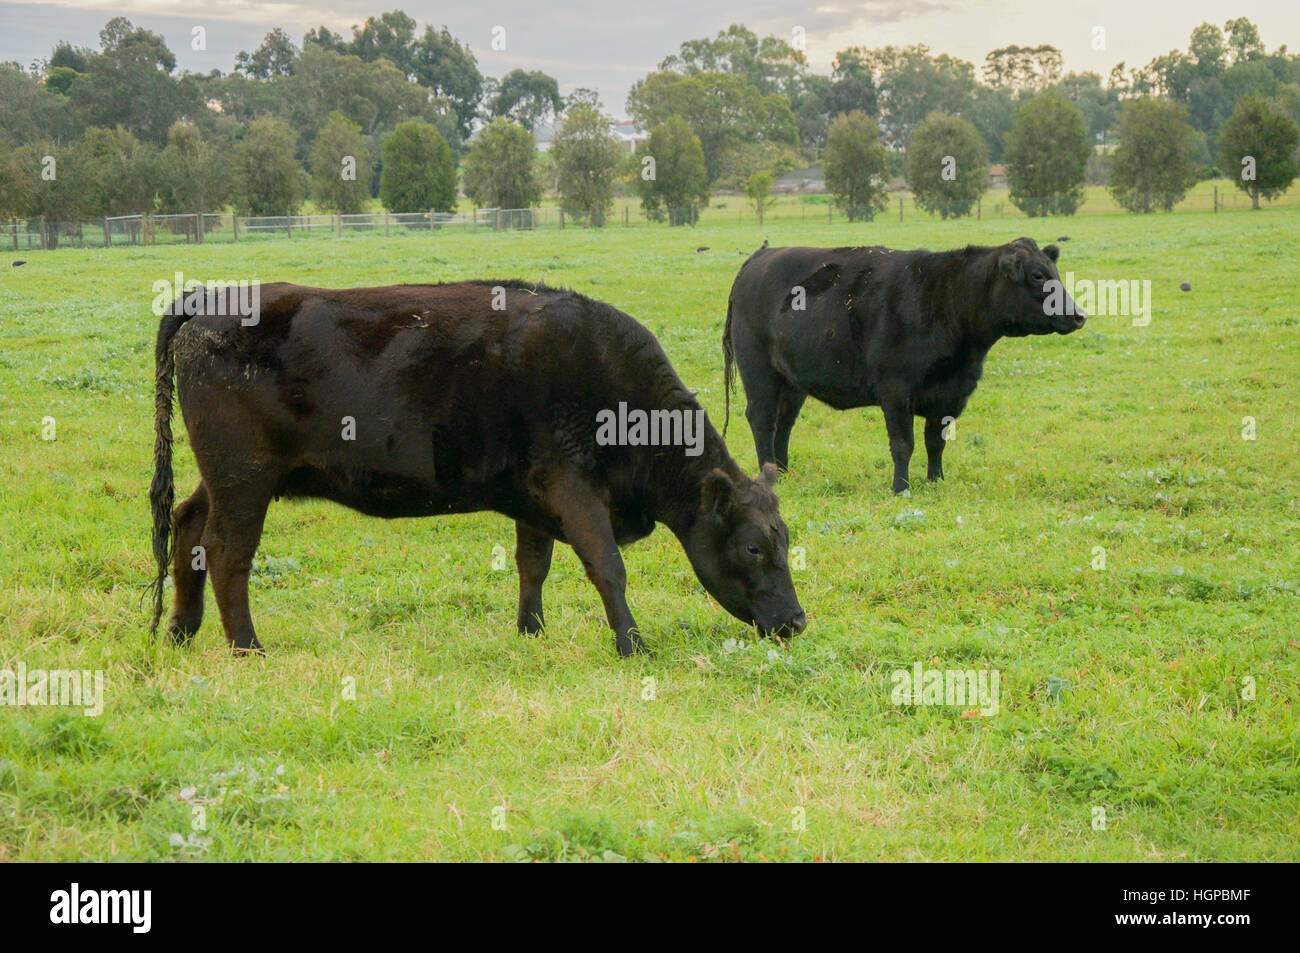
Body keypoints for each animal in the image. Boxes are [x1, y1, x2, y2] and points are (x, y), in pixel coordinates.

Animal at [149, 281, 806, 658]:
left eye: (785, 540)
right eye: (752, 547)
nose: (797, 622)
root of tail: (208, 300)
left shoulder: (535, 495)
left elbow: (533, 564)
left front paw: (531, 633)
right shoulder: (573, 488)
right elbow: (606, 567)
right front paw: (632, 645)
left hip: (227, 476)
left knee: (187, 526)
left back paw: (181, 630)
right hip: (244, 476)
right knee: (227, 551)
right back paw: (246, 647)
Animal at [723, 237, 1085, 493]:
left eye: (1054, 273)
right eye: (1037, 276)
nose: (1079, 315)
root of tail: (762, 256)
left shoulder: (951, 394)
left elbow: (935, 441)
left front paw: (936, 481)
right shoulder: (896, 391)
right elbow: (903, 444)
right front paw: (901, 488)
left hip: (792, 381)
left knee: (784, 424)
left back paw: (782, 472)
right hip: (758, 370)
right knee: (763, 421)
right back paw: (769, 475)